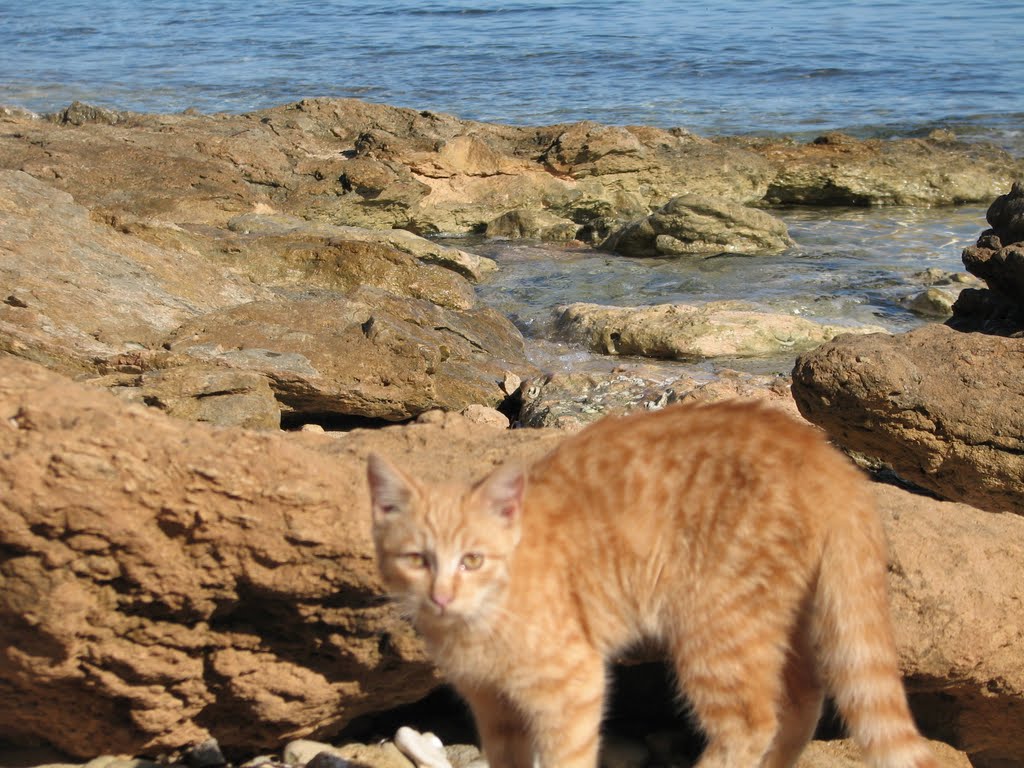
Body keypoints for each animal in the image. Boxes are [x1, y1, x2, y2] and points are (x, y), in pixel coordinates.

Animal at [368, 403, 937, 768]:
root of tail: (825, 455)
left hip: (716, 631)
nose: (441, 596)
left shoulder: (572, 688)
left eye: (473, 560)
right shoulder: (494, 710)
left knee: (751, 725)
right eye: (416, 560)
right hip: (777, 621)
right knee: (801, 703)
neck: (478, 623)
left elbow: (566, 757)